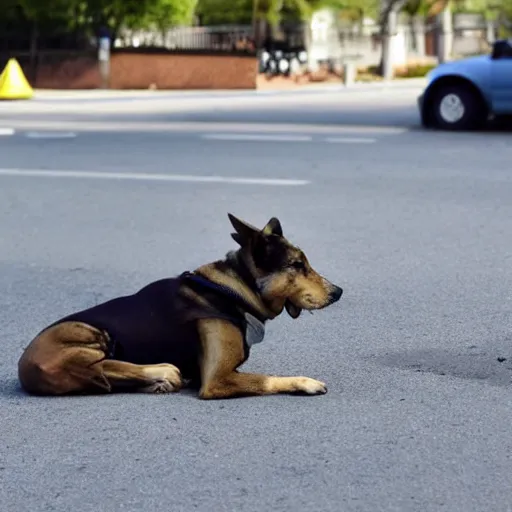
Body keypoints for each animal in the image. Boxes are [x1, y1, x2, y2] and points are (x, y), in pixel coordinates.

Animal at [18, 214, 342, 398]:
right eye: (297, 265)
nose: (338, 292)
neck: (236, 289)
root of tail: (24, 369)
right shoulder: (216, 380)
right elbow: (265, 380)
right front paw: (305, 382)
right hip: (87, 334)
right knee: (102, 365)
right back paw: (161, 372)